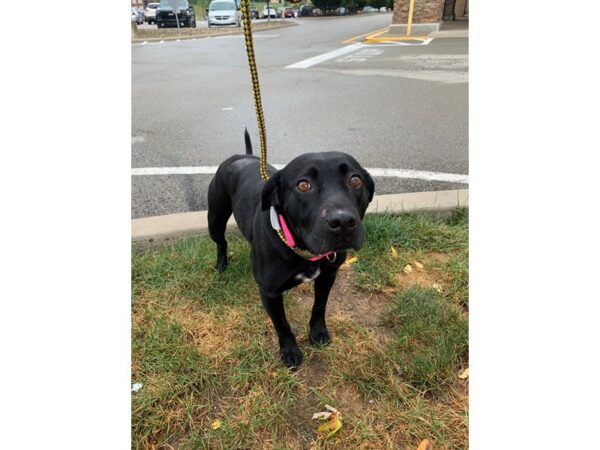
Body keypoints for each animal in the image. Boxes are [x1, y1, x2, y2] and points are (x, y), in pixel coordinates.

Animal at [209, 129, 372, 366]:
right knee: (221, 242)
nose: (342, 222)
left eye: (355, 180)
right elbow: (282, 325)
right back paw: (221, 264)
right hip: (215, 218)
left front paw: (318, 333)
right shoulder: (269, 293)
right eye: (303, 185)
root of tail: (242, 155)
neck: (301, 249)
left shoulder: (328, 276)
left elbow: (319, 307)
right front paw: (290, 351)